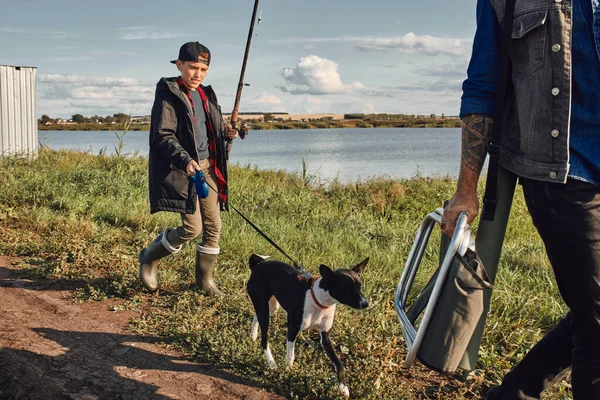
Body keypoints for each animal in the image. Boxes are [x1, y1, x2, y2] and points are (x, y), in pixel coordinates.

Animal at [245, 255, 368, 398]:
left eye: (360, 286)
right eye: (347, 288)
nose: (366, 303)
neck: (320, 301)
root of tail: (258, 265)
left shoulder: (325, 336)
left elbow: (339, 363)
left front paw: (343, 388)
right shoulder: (292, 329)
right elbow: (290, 356)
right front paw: (288, 371)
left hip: (270, 306)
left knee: (256, 316)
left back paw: (253, 335)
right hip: (264, 309)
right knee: (264, 340)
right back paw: (271, 363)